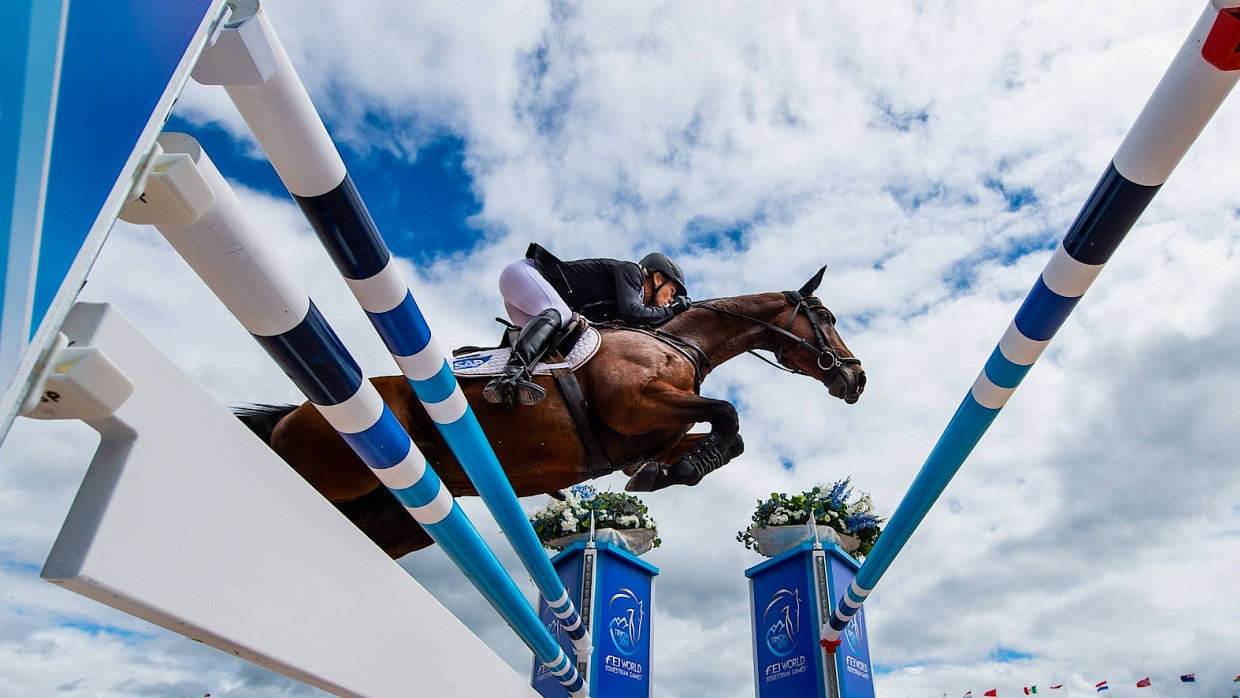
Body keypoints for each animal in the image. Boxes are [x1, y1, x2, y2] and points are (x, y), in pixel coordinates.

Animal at [239, 265, 863, 560]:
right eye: (826, 316)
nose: (856, 378)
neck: (678, 341)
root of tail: (296, 412)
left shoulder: (652, 432)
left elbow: (721, 438)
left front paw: (667, 474)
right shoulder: (637, 406)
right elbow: (730, 415)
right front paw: (681, 470)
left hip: (396, 517)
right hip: (335, 472)